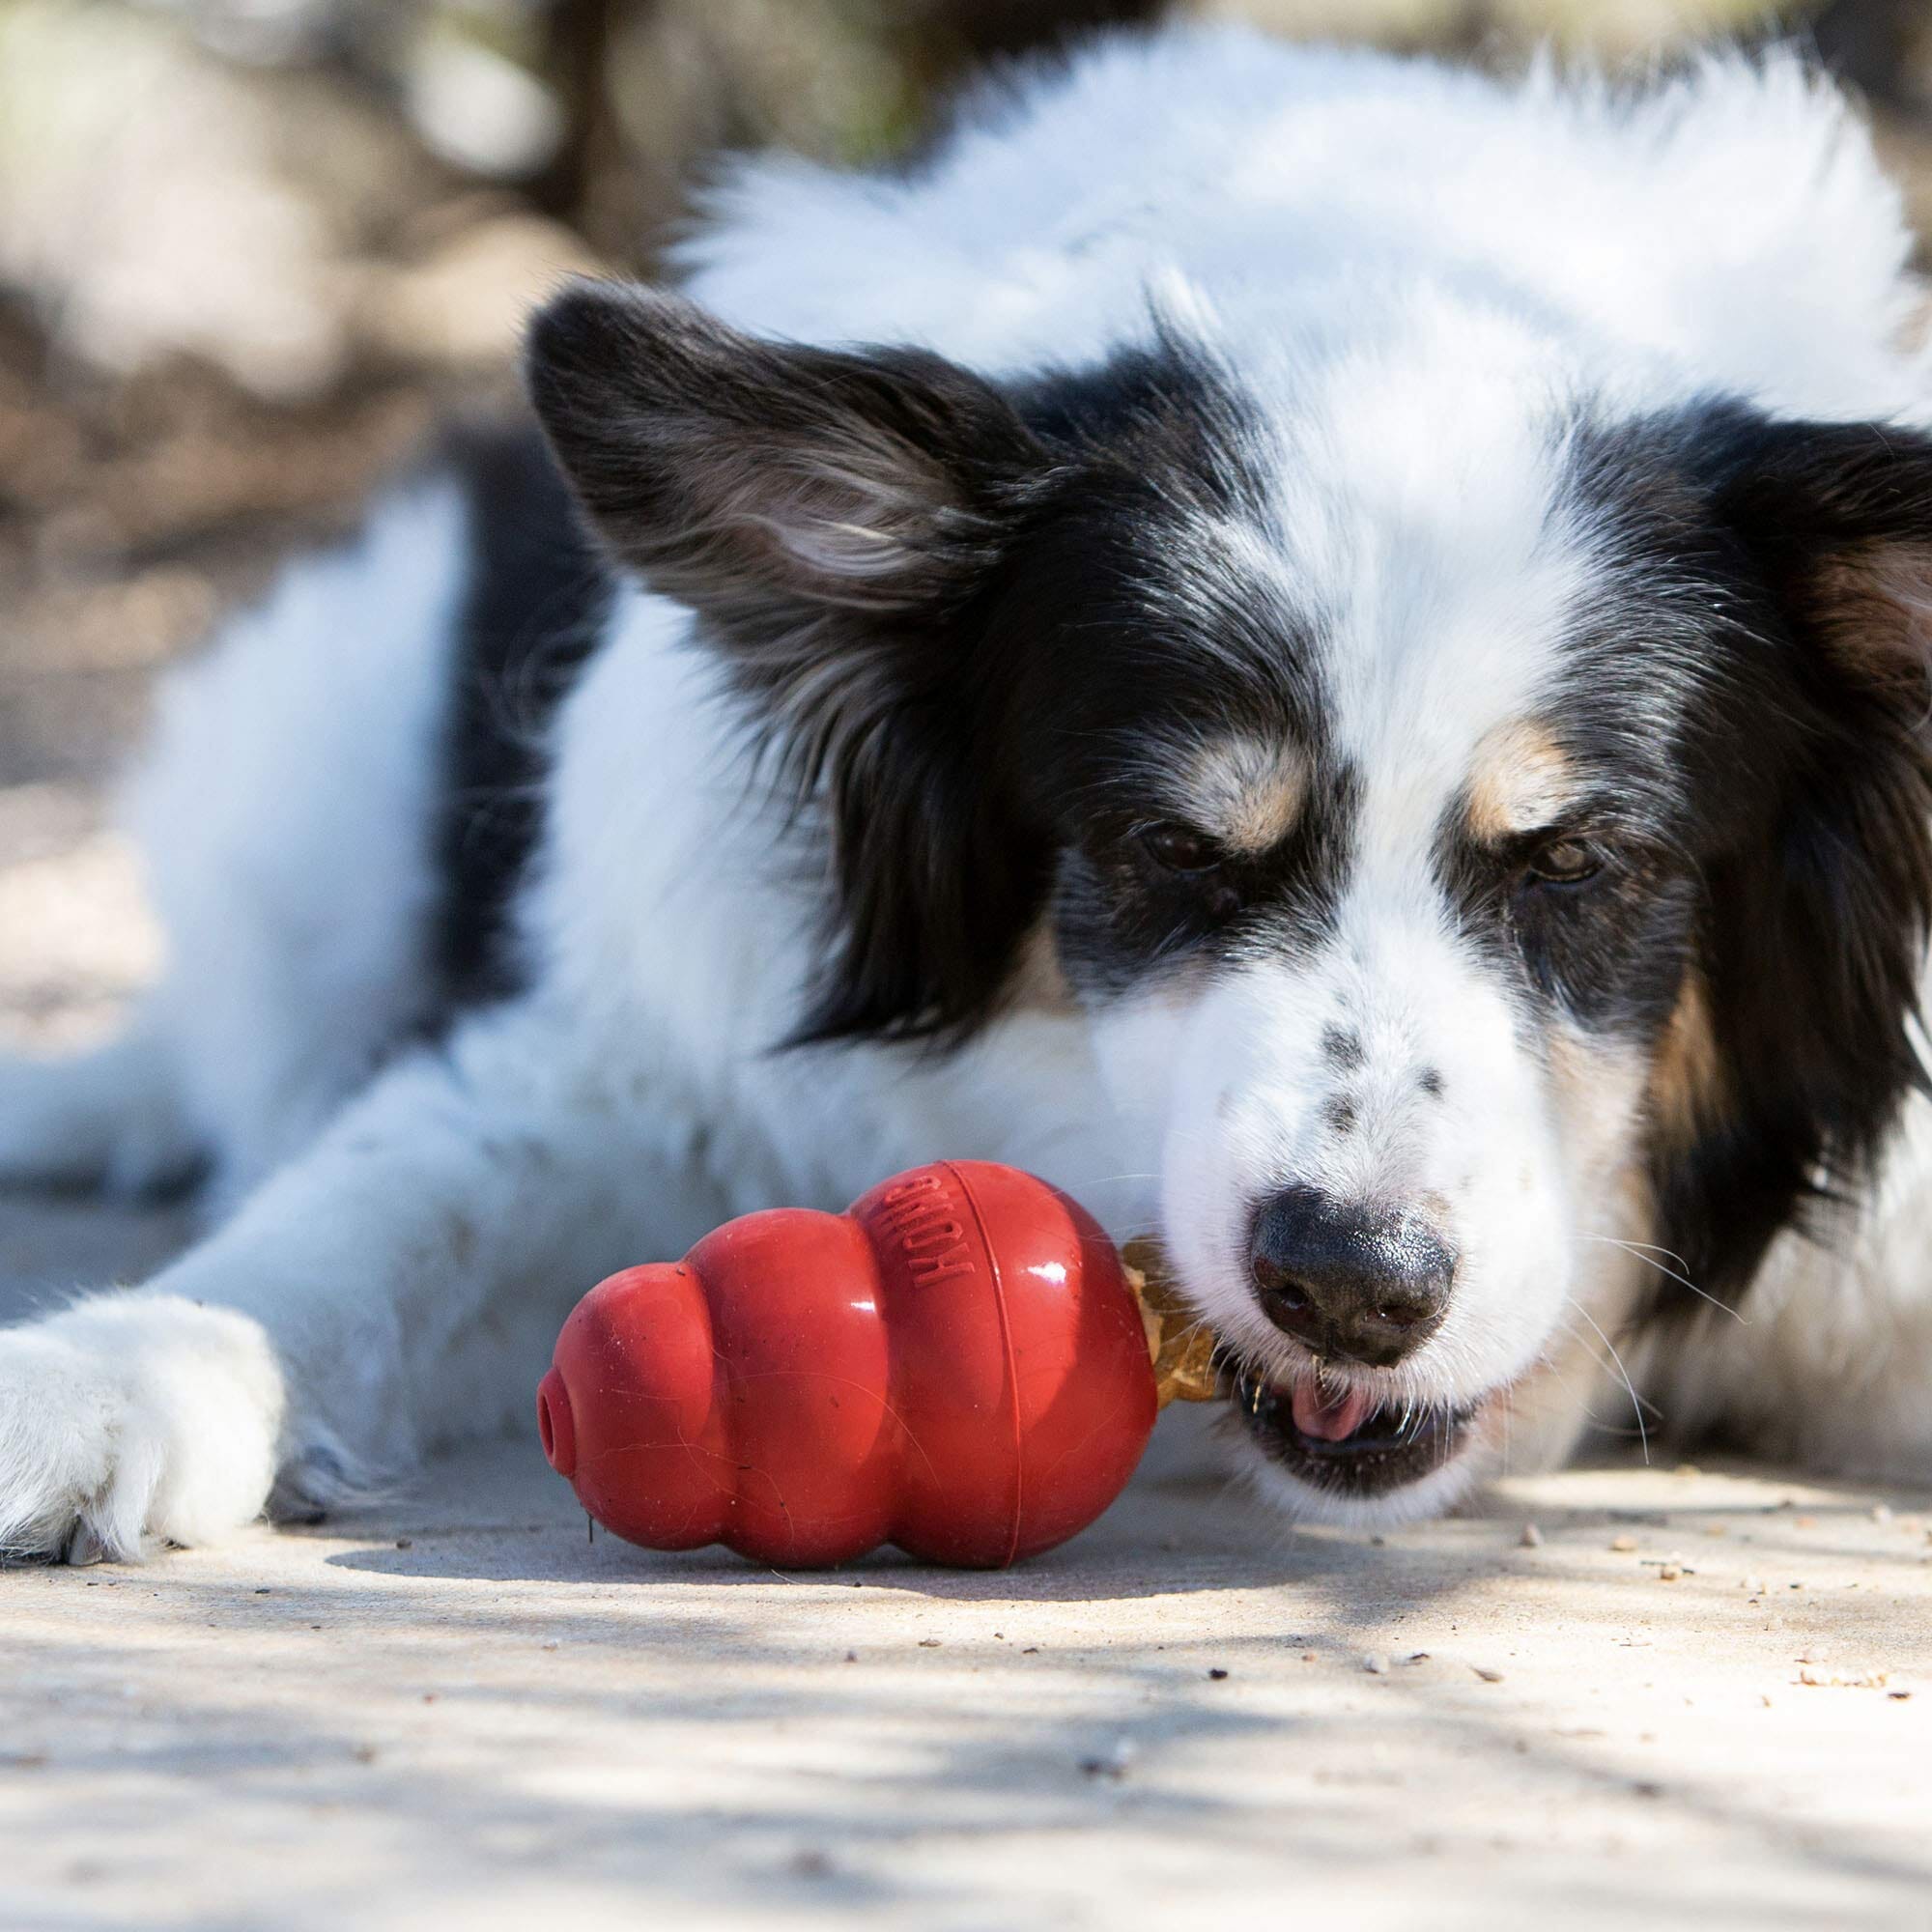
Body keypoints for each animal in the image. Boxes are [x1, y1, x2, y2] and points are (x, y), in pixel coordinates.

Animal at [3, 26, 1932, 1569]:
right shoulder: (647, 1067)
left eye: (1583, 862)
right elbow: (372, 1214)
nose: (1351, 1287)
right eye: (1165, 849)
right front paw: (114, 1371)